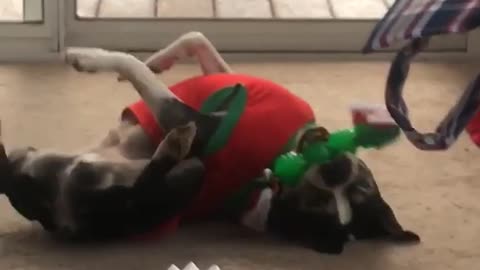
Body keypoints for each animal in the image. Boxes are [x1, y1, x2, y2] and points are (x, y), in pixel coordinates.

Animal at [0, 31, 420, 253]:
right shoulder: (226, 81)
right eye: (363, 183)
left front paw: (86, 57)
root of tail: (56, 215)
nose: (338, 167)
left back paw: (170, 148)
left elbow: (132, 67)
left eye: (319, 204)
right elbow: (196, 41)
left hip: (162, 178)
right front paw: (158, 60)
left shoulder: (194, 120)